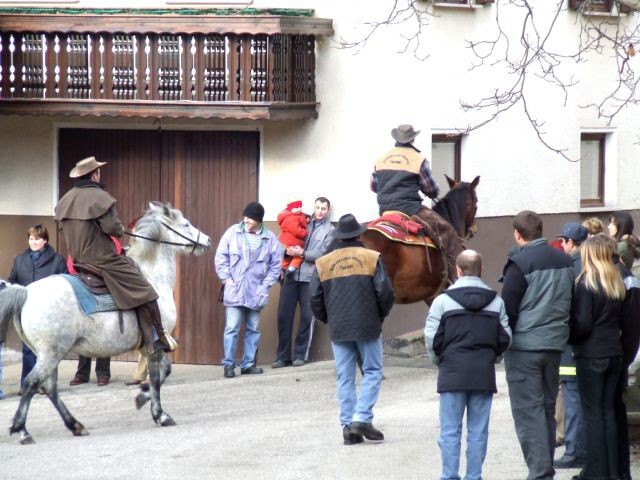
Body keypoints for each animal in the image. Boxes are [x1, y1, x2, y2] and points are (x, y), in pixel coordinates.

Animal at [0, 201, 211, 444]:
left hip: (47, 355)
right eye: (185, 224)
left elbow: (163, 371)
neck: (152, 276)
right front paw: (159, 414)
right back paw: (23, 430)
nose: (207, 240)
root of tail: (25, 292)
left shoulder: (149, 346)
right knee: (31, 384)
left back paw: (75, 425)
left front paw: (142, 395)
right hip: (51, 354)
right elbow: (158, 376)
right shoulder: (155, 343)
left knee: (48, 387)